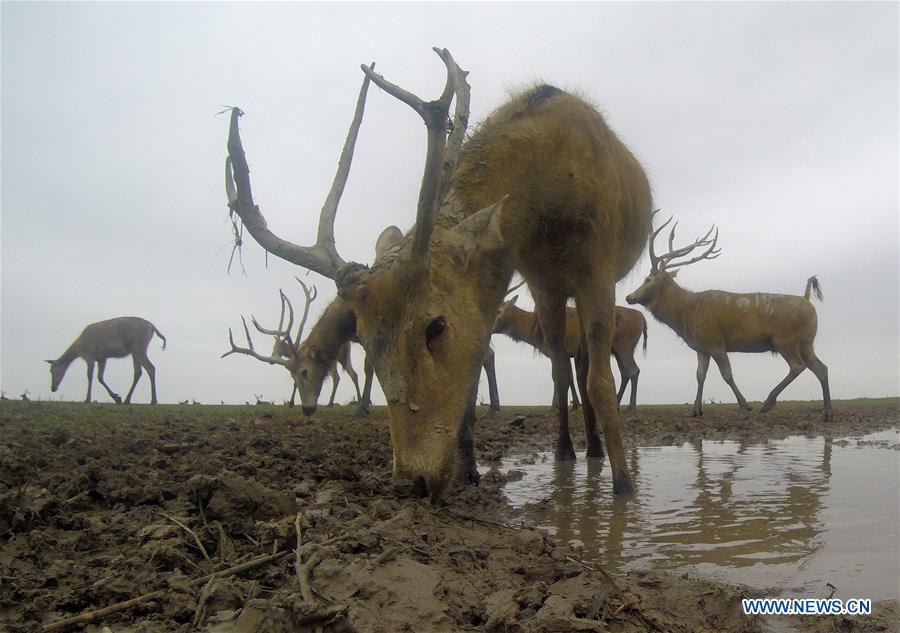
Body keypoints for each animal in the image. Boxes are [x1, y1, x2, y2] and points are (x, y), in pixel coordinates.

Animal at [492, 300, 648, 412]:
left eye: (499, 310)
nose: (490, 328)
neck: (535, 331)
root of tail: (642, 319)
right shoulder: (569, 354)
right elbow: (570, 377)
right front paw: (575, 404)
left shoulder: (557, 353)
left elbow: (557, 377)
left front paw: (554, 406)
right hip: (617, 351)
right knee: (625, 373)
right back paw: (618, 402)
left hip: (625, 347)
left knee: (633, 371)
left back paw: (630, 406)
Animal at [624, 215, 828, 422]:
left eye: (648, 279)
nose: (629, 297)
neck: (687, 315)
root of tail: (807, 299)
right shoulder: (702, 348)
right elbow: (700, 376)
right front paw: (694, 410)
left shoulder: (715, 342)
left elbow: (727, 375)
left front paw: (744, 407)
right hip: (806, 341)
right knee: (821, 368)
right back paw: (827, 413)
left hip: (785, 339)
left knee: (798, 366)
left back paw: (767, 403)